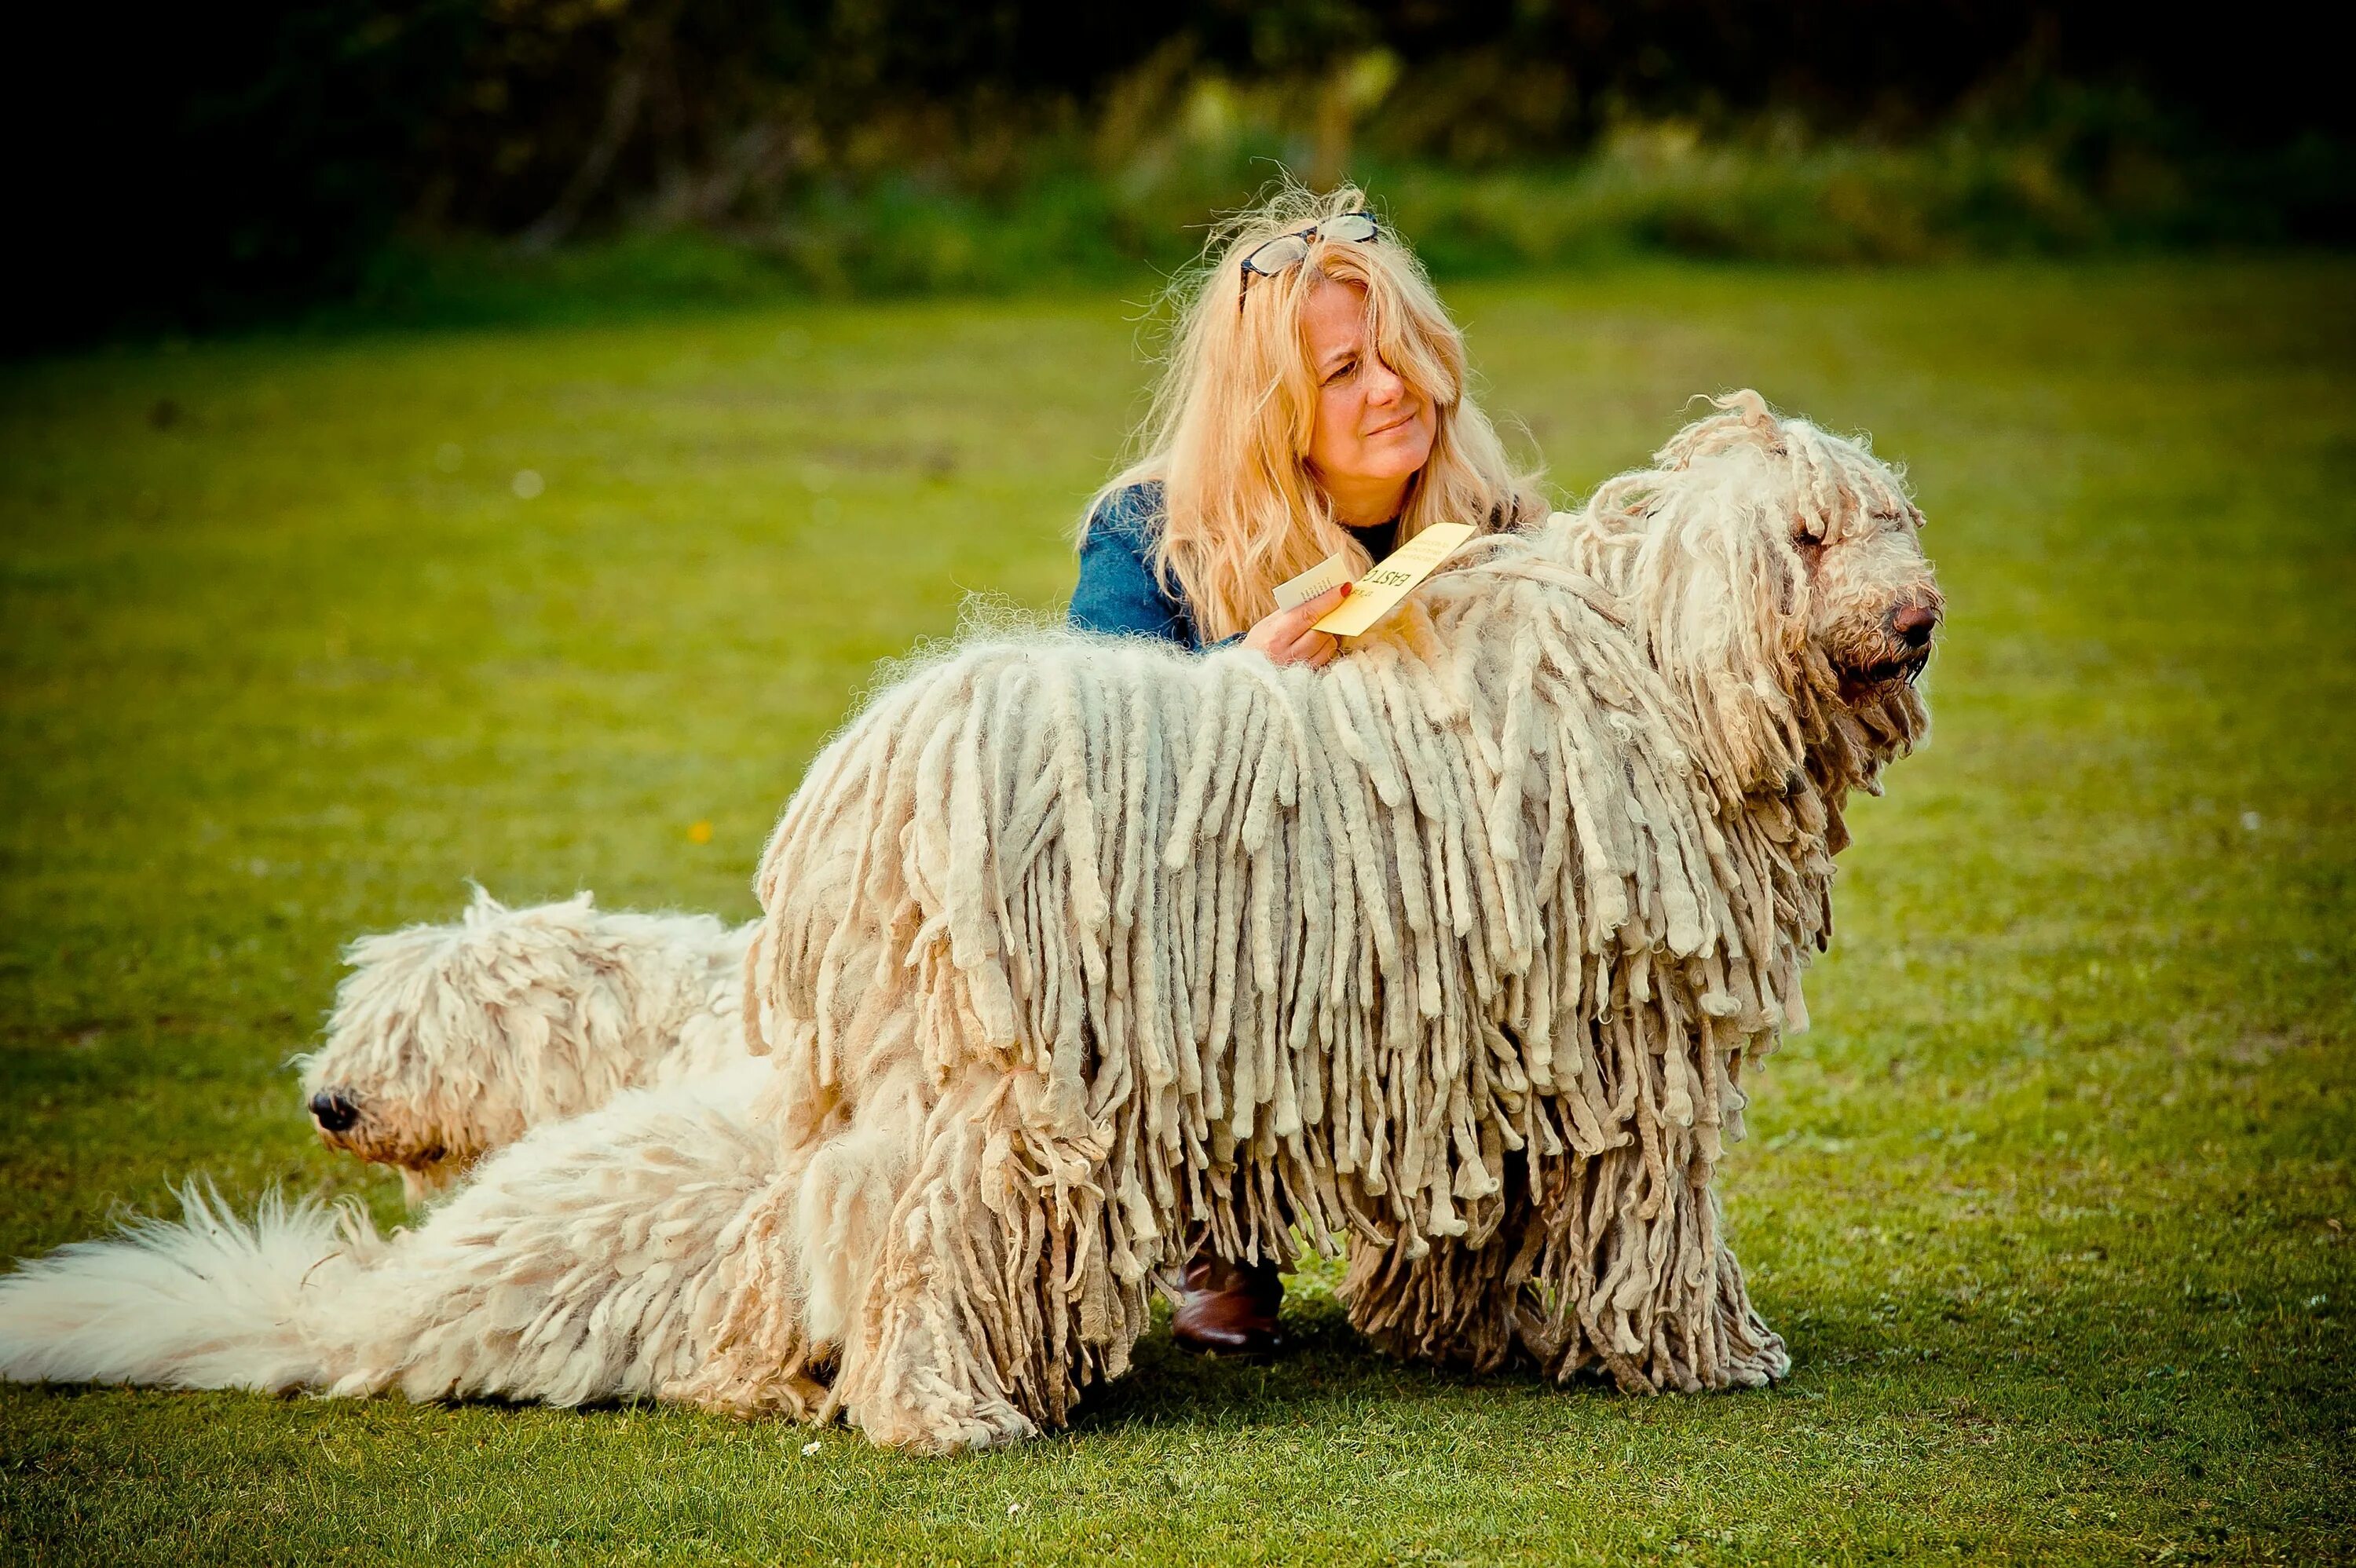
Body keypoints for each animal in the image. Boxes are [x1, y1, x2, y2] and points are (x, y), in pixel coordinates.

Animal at [0, 393, 1932, 1450]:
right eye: (1808, 534)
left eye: (1895, 517)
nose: (1910, 620)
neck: (1651, 683)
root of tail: (874, 773)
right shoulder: (1624, 1050)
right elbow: (1655, 1216)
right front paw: (1705, 1353)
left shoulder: (1505, 1067)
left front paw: (1470, 1327)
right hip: (1000, 1093)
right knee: (918, 1231)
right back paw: (954, 1407)